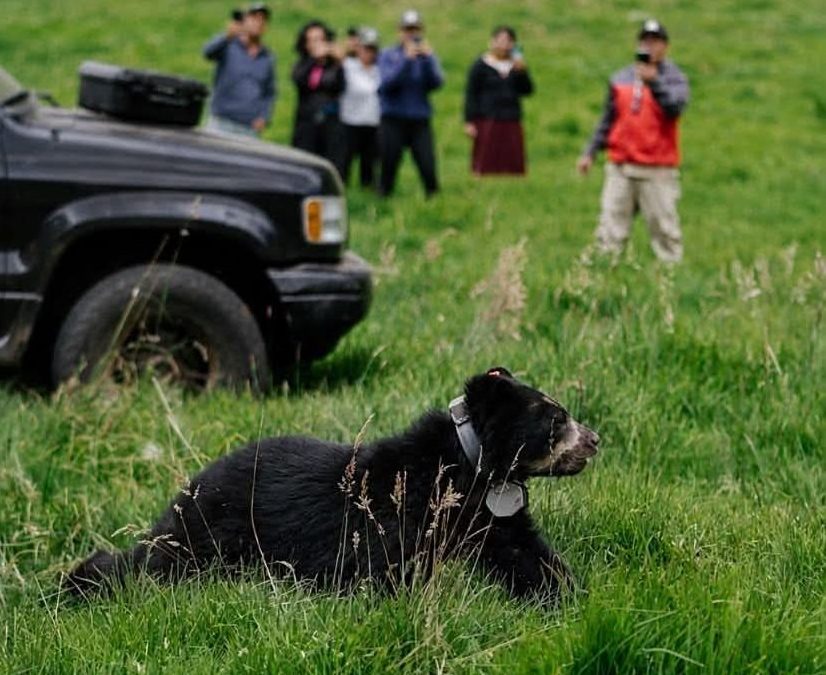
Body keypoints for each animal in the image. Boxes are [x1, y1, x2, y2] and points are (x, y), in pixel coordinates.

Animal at [63, 367, 600, 603]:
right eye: (556, 420)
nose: (595, 440)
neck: (470, 469)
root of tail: (188, 488)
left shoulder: (486, 512)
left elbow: (522, 552)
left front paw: (567, 595)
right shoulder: (393, 513)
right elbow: (382, 568)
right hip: (214, 537)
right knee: (155, 564)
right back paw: (83, 579)